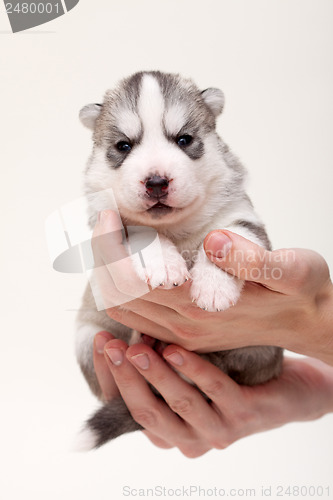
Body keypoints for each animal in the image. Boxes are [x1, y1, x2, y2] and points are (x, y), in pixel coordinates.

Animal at [76, 70, 282, 450]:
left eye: (184, 139)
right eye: (124, 146)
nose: (156, 182)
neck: (177, 229)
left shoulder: (242, 215)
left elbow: (229, 236)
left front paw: (214, 288)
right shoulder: (113, 224)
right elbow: (143, 233)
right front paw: (163, 263)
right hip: (87, 338)